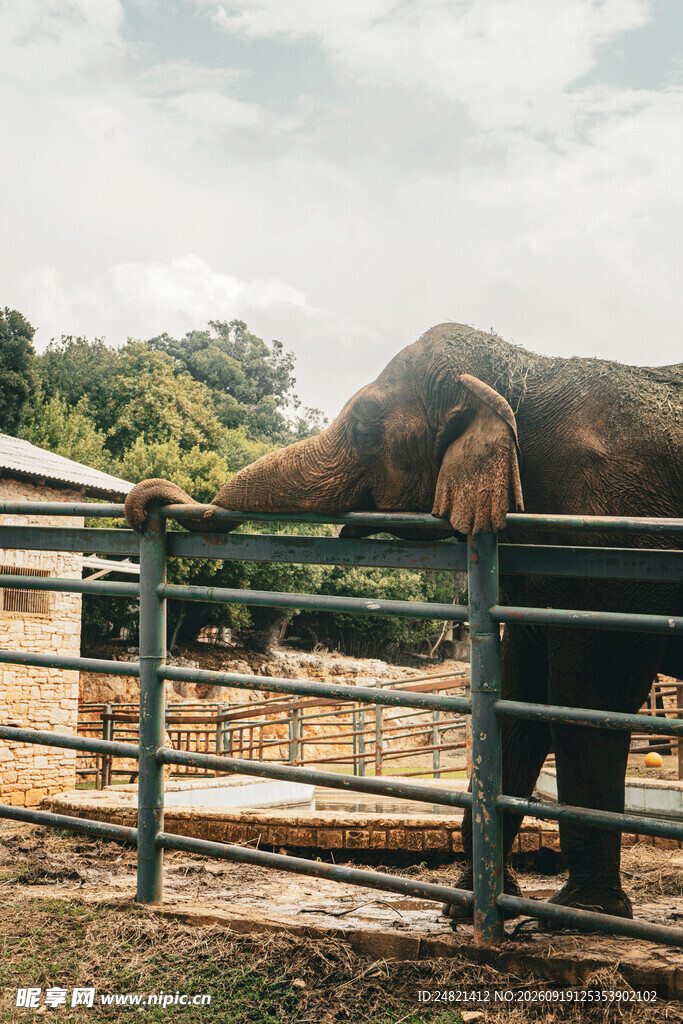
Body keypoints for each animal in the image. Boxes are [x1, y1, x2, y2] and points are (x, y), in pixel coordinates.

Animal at [125, 322, 683, 925]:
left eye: (367, 428)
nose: (149, 503)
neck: (521, 369)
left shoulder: (607, 542)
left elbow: (589, 699)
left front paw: (575, 913)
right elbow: (520, 696)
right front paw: (469, 906)